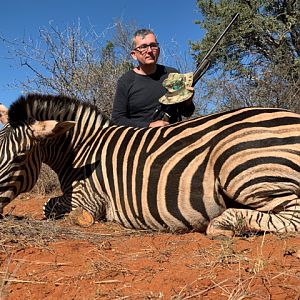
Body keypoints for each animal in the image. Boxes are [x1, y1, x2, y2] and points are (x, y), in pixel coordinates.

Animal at [0, 94, 298, 237]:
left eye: (20, 157)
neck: (82, 151)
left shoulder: (88, 204)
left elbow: (64, 213)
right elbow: (48, 206)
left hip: (241, 170)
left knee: (292, 216)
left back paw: (222, 223)